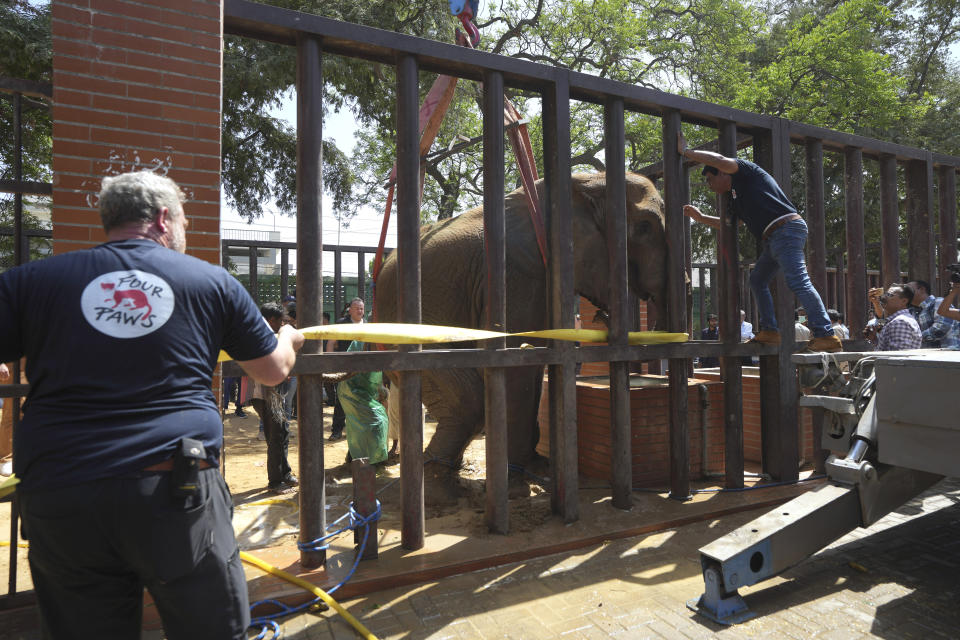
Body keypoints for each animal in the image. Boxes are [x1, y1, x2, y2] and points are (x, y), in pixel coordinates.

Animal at [374, 172, 668, 502]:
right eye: (645, 227)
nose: (600, 317)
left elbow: (536, 359)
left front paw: (540, 472)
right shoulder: (515, 275)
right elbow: (516, 362)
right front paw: (516, 489)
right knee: (468, 404)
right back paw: (439, 493)